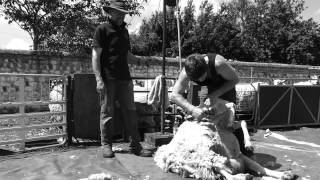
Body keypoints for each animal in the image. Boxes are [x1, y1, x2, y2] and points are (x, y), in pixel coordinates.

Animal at [154, 98, 296, 180]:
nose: (208, 110)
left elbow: (243, 121)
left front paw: (248, 144)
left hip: (234, 159)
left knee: (256, 169)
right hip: (204, 159)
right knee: (224, 172)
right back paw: (243, 176)